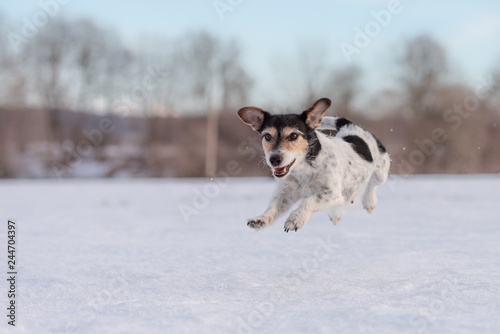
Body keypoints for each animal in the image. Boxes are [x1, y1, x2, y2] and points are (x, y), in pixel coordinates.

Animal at [237, 96, 390, 232]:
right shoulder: (286, 194)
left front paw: (296, 219)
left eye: (293, 135)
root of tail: (351, 126)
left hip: (381, 172)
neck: (304, 169)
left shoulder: (331, 192)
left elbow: (310, 200)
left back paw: (369, 202)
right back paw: (336, 214)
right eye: (267, 136)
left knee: (372, 185)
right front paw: (261, 219)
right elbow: (273, 207)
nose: (274, 159)